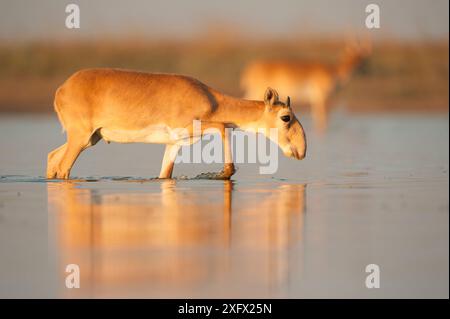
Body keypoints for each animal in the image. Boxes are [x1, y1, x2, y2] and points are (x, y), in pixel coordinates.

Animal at [46, 68, 306, 180]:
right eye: (286, 117)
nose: (302, 151)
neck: (210, 98)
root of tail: (61, 90)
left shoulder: (175, 144)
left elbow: (164, 175)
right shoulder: (192, 127)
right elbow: (223, 126)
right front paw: (226, 172)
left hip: (90, 139)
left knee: (52, 158)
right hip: (80, 138)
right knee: (63, 167)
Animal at [241, 40, 370, 132]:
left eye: (363, 58)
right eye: (355, 57)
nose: (365, 70)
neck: (332, 71)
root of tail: (250, 69)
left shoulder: (314, 99)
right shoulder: (321, 97)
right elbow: (322, 119)